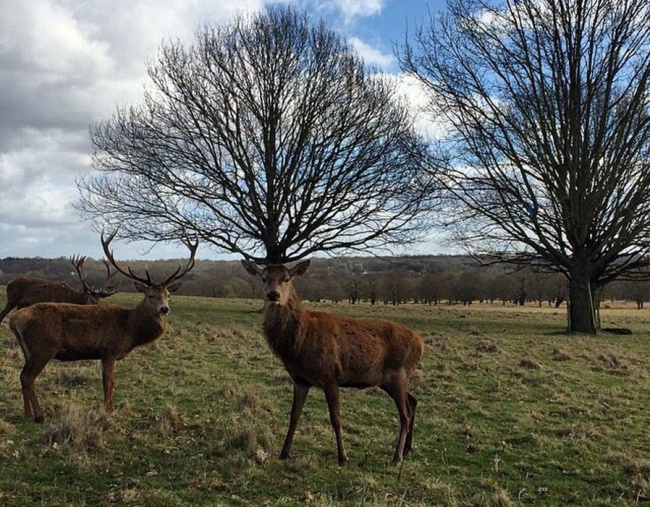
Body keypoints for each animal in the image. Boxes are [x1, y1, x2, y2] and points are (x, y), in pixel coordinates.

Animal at [7, 232, 196, 422]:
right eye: (150, 295)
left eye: (168, 295)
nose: (164, 309)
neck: (130, 329)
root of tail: (14, 320)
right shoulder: (109, 351)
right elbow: (108, 383)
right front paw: (108, 412)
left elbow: (111, 383)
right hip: (43, 347)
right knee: (28, 377)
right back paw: (39, 415)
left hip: (28, 350)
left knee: (22, 376)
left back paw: (27, 413)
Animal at [240, 260, 422, 466]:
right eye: (264, 278)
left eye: (286, 278)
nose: (273, 295)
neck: (300, 342)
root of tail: (421, 343)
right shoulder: (300, 380)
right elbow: (294, 415)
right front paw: (284, 452)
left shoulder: (330, 376)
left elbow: (335, 418)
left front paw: (343, 457)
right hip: (391, 380)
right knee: (412, 401)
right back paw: (407, 449)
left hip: (398, 373)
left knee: (405, 415)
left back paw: (396, 457)